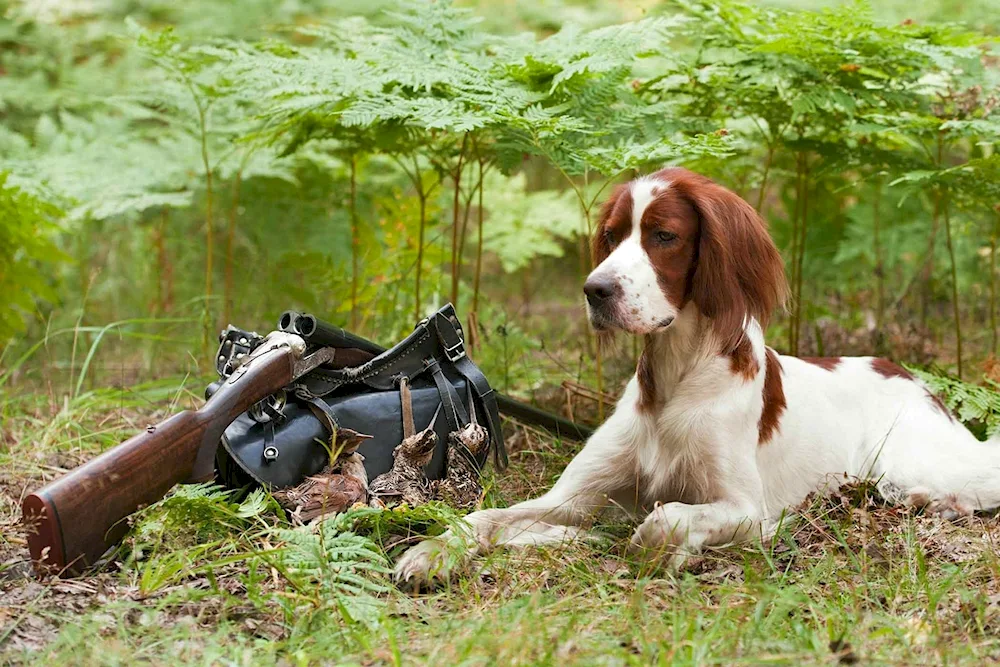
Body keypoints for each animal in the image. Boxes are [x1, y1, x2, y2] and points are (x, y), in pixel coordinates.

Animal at [394, 168, 1000, 584]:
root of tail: (903, 371)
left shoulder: (749, 509)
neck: (675, 383)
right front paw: (430, 552)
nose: (595, 290)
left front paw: (662, 548)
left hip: (916, 456)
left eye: (664, 236)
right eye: (611, 235)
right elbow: (487, 517)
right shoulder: (571, 497)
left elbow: (667, 519)